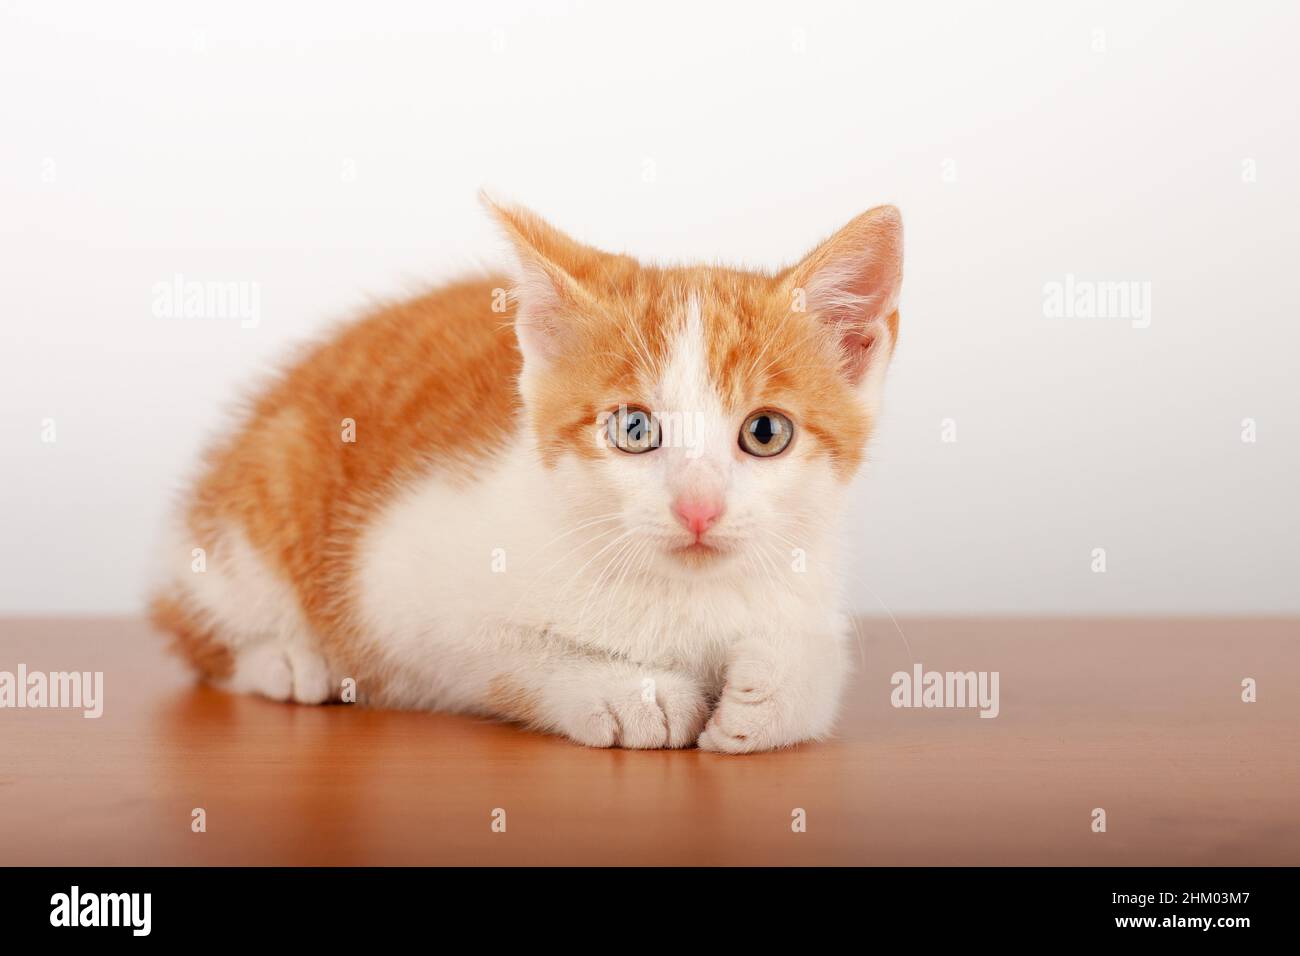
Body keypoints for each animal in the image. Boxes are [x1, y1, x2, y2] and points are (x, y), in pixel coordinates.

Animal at [149, 197, 904, 754]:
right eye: (634, 429)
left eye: (765, 432)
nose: (698, 508)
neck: (684, 600)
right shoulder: (398, 585)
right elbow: (502, 653)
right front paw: (628, 693)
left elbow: (817, 660)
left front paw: (766, 693)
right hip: (262, 502)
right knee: (194, 630)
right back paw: (286, 662)